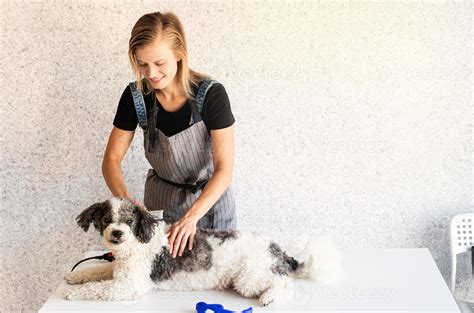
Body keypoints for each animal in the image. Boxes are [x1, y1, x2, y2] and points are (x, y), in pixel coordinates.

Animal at [64, 197, 344, 304]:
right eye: (107, 219)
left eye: (129, 220)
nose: (117, 233)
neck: (136, 245)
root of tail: (277, 250)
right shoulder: (118, 269)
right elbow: (97, 271)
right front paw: (74, 276)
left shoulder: (130, 285)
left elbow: (97, 288)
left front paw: (73, 293)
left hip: (249, 278)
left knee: (284, 282)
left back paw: (269, 297)